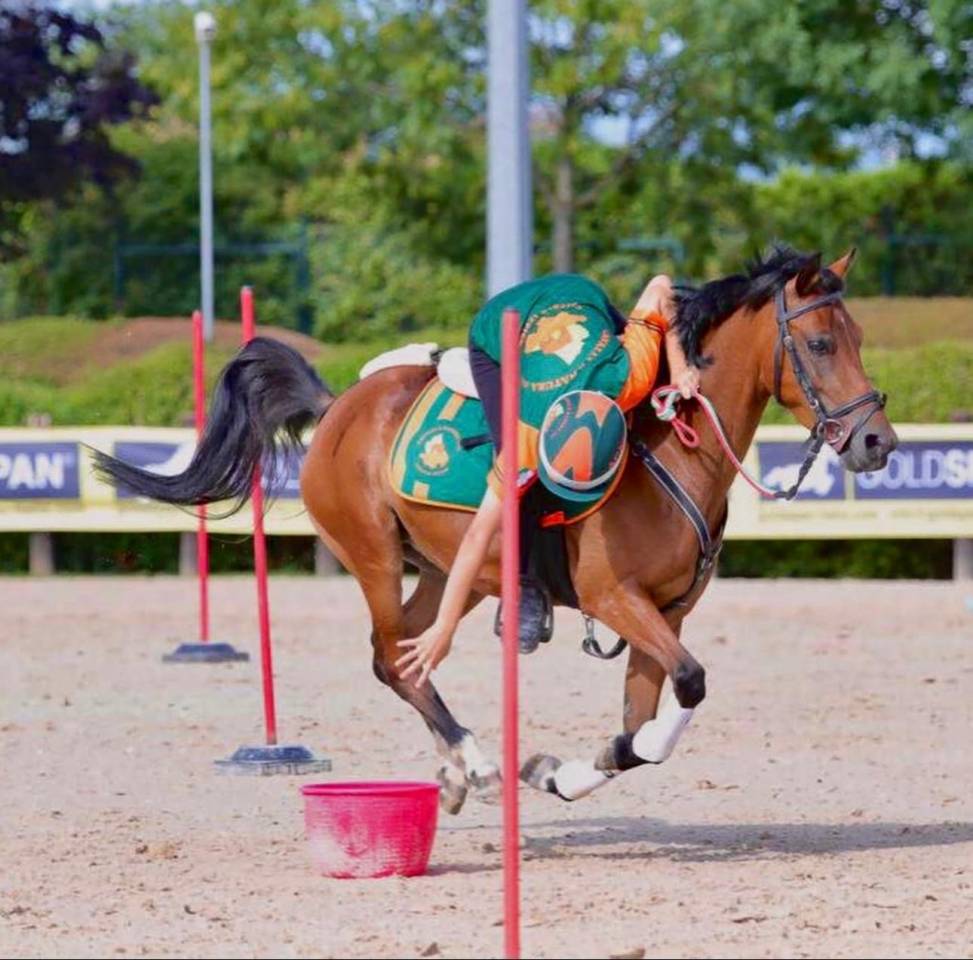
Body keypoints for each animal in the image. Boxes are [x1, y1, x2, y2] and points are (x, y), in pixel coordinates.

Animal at [94, 246, 897, 813]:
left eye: (859, 335)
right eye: (821, 344)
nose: (877, 443)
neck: (670, 448)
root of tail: (336, 407)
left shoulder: (663, 614)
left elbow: (644, 731)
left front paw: (561, 774)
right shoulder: (614, 598)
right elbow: (691, 684)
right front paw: (543, 769)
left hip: (449, 570)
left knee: (400, 657)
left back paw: (462, 769)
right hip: (374, 556)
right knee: (395, 658)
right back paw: (475, 764)